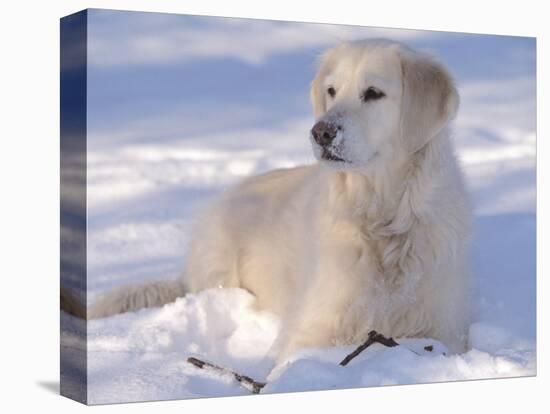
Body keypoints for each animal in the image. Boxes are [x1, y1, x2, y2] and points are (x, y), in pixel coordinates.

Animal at [90, 40, 474, 360]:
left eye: (374, 93)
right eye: (332, 91)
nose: (321, 132)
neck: (382, 216)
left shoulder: (443, 331)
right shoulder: (312, 328)